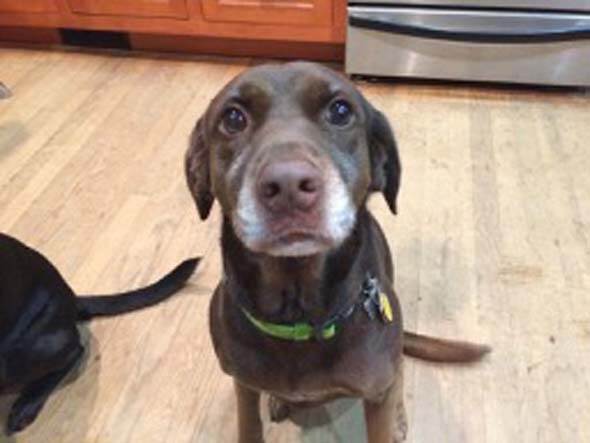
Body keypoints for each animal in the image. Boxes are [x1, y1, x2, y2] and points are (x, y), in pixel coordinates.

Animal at [186, 62, 490, 443]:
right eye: (233, 118)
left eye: (341, 111)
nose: (288, 185)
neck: (299, 316)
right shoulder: (244, 384)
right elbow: (249, 425)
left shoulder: (376, 393)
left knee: (400, 371)